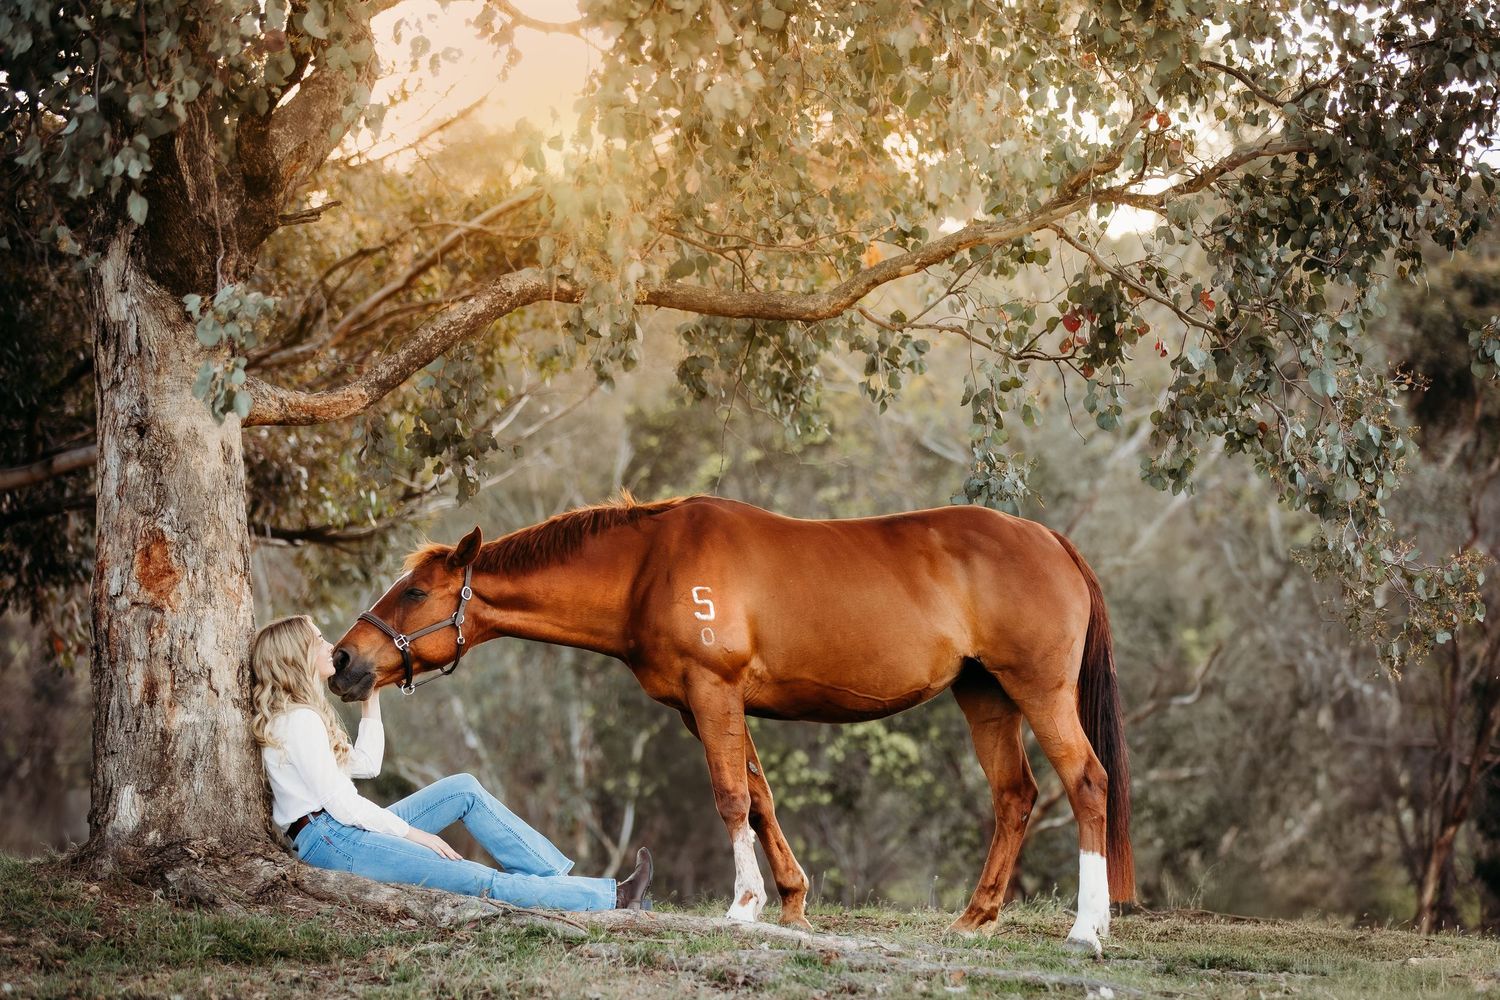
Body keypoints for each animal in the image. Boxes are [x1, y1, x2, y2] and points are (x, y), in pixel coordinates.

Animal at [329, 493, 1133, 954]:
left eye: (415, 592)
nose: (342, 661)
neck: (650, 565)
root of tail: (1048, 541)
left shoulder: (713, 692)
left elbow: (730, 798)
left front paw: (745, 907)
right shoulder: (706, 706)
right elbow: (760, 797)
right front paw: (794, 904)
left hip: (1038, 691)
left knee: (1087, 783)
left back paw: (1087, 928)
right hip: (985, 695)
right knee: (1016, 796)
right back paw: (976, 918)